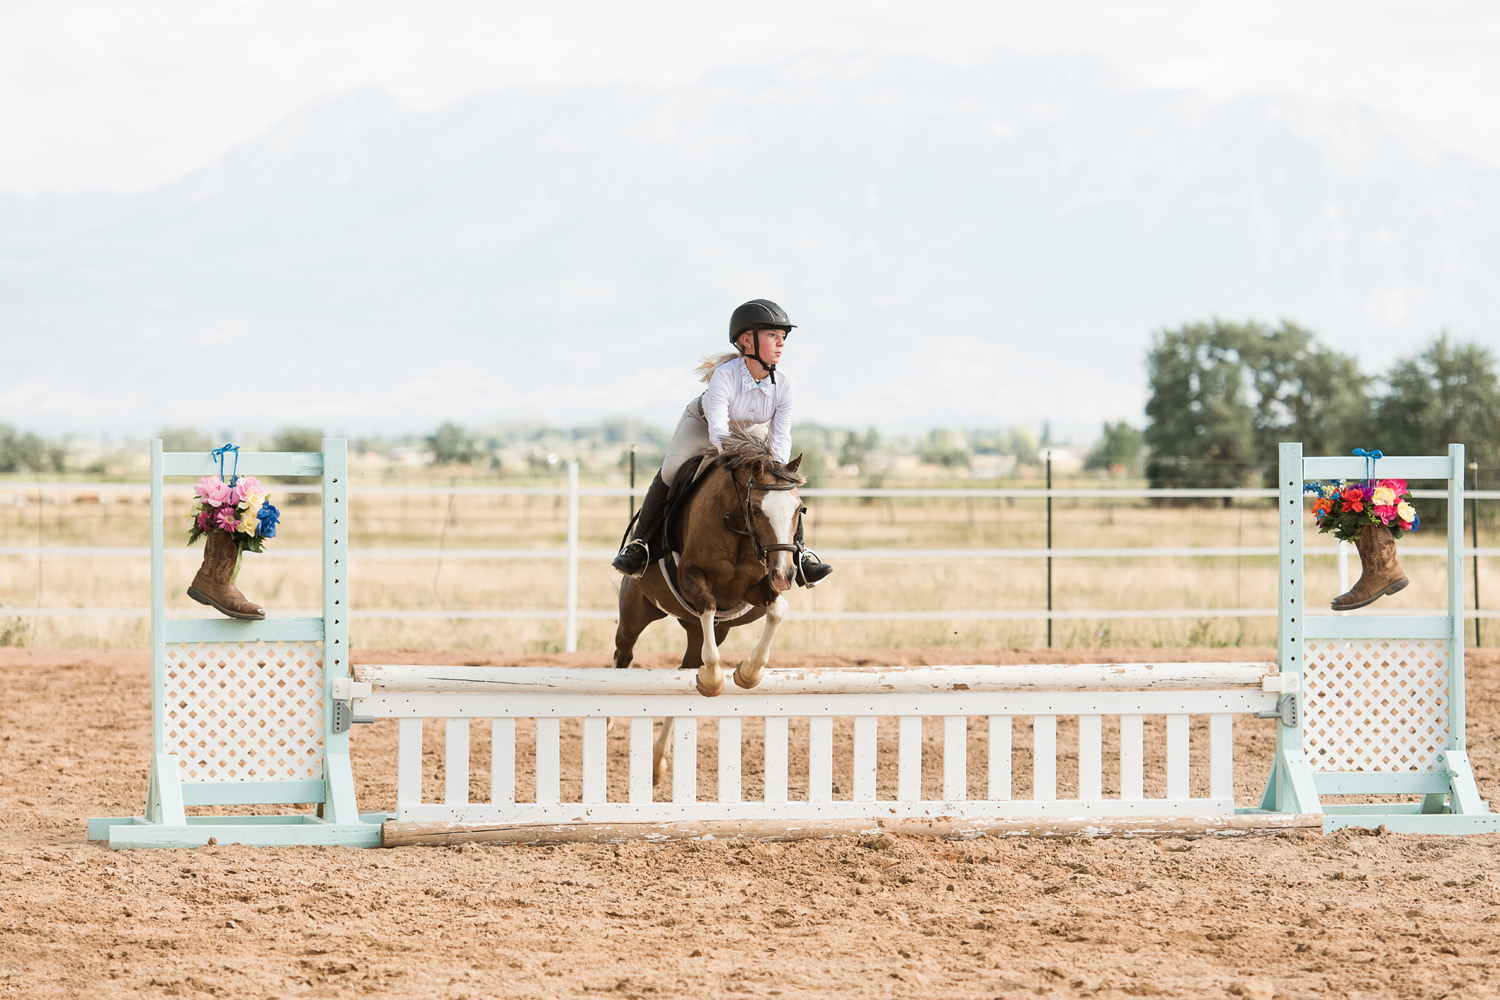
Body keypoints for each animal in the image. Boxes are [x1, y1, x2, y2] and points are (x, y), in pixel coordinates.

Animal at [612, 428, 807, 779]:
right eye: (757, 510)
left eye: (799, 509)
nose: (785, 574)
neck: (737, 526)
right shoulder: (692, 578)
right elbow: (708, 607)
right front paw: (715, 680)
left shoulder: (754, 591)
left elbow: (777, 610)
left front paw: (747, 673)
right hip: (635, 614)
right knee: (623, 654)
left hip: (702, 631)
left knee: (687, 667)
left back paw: (657, 761)